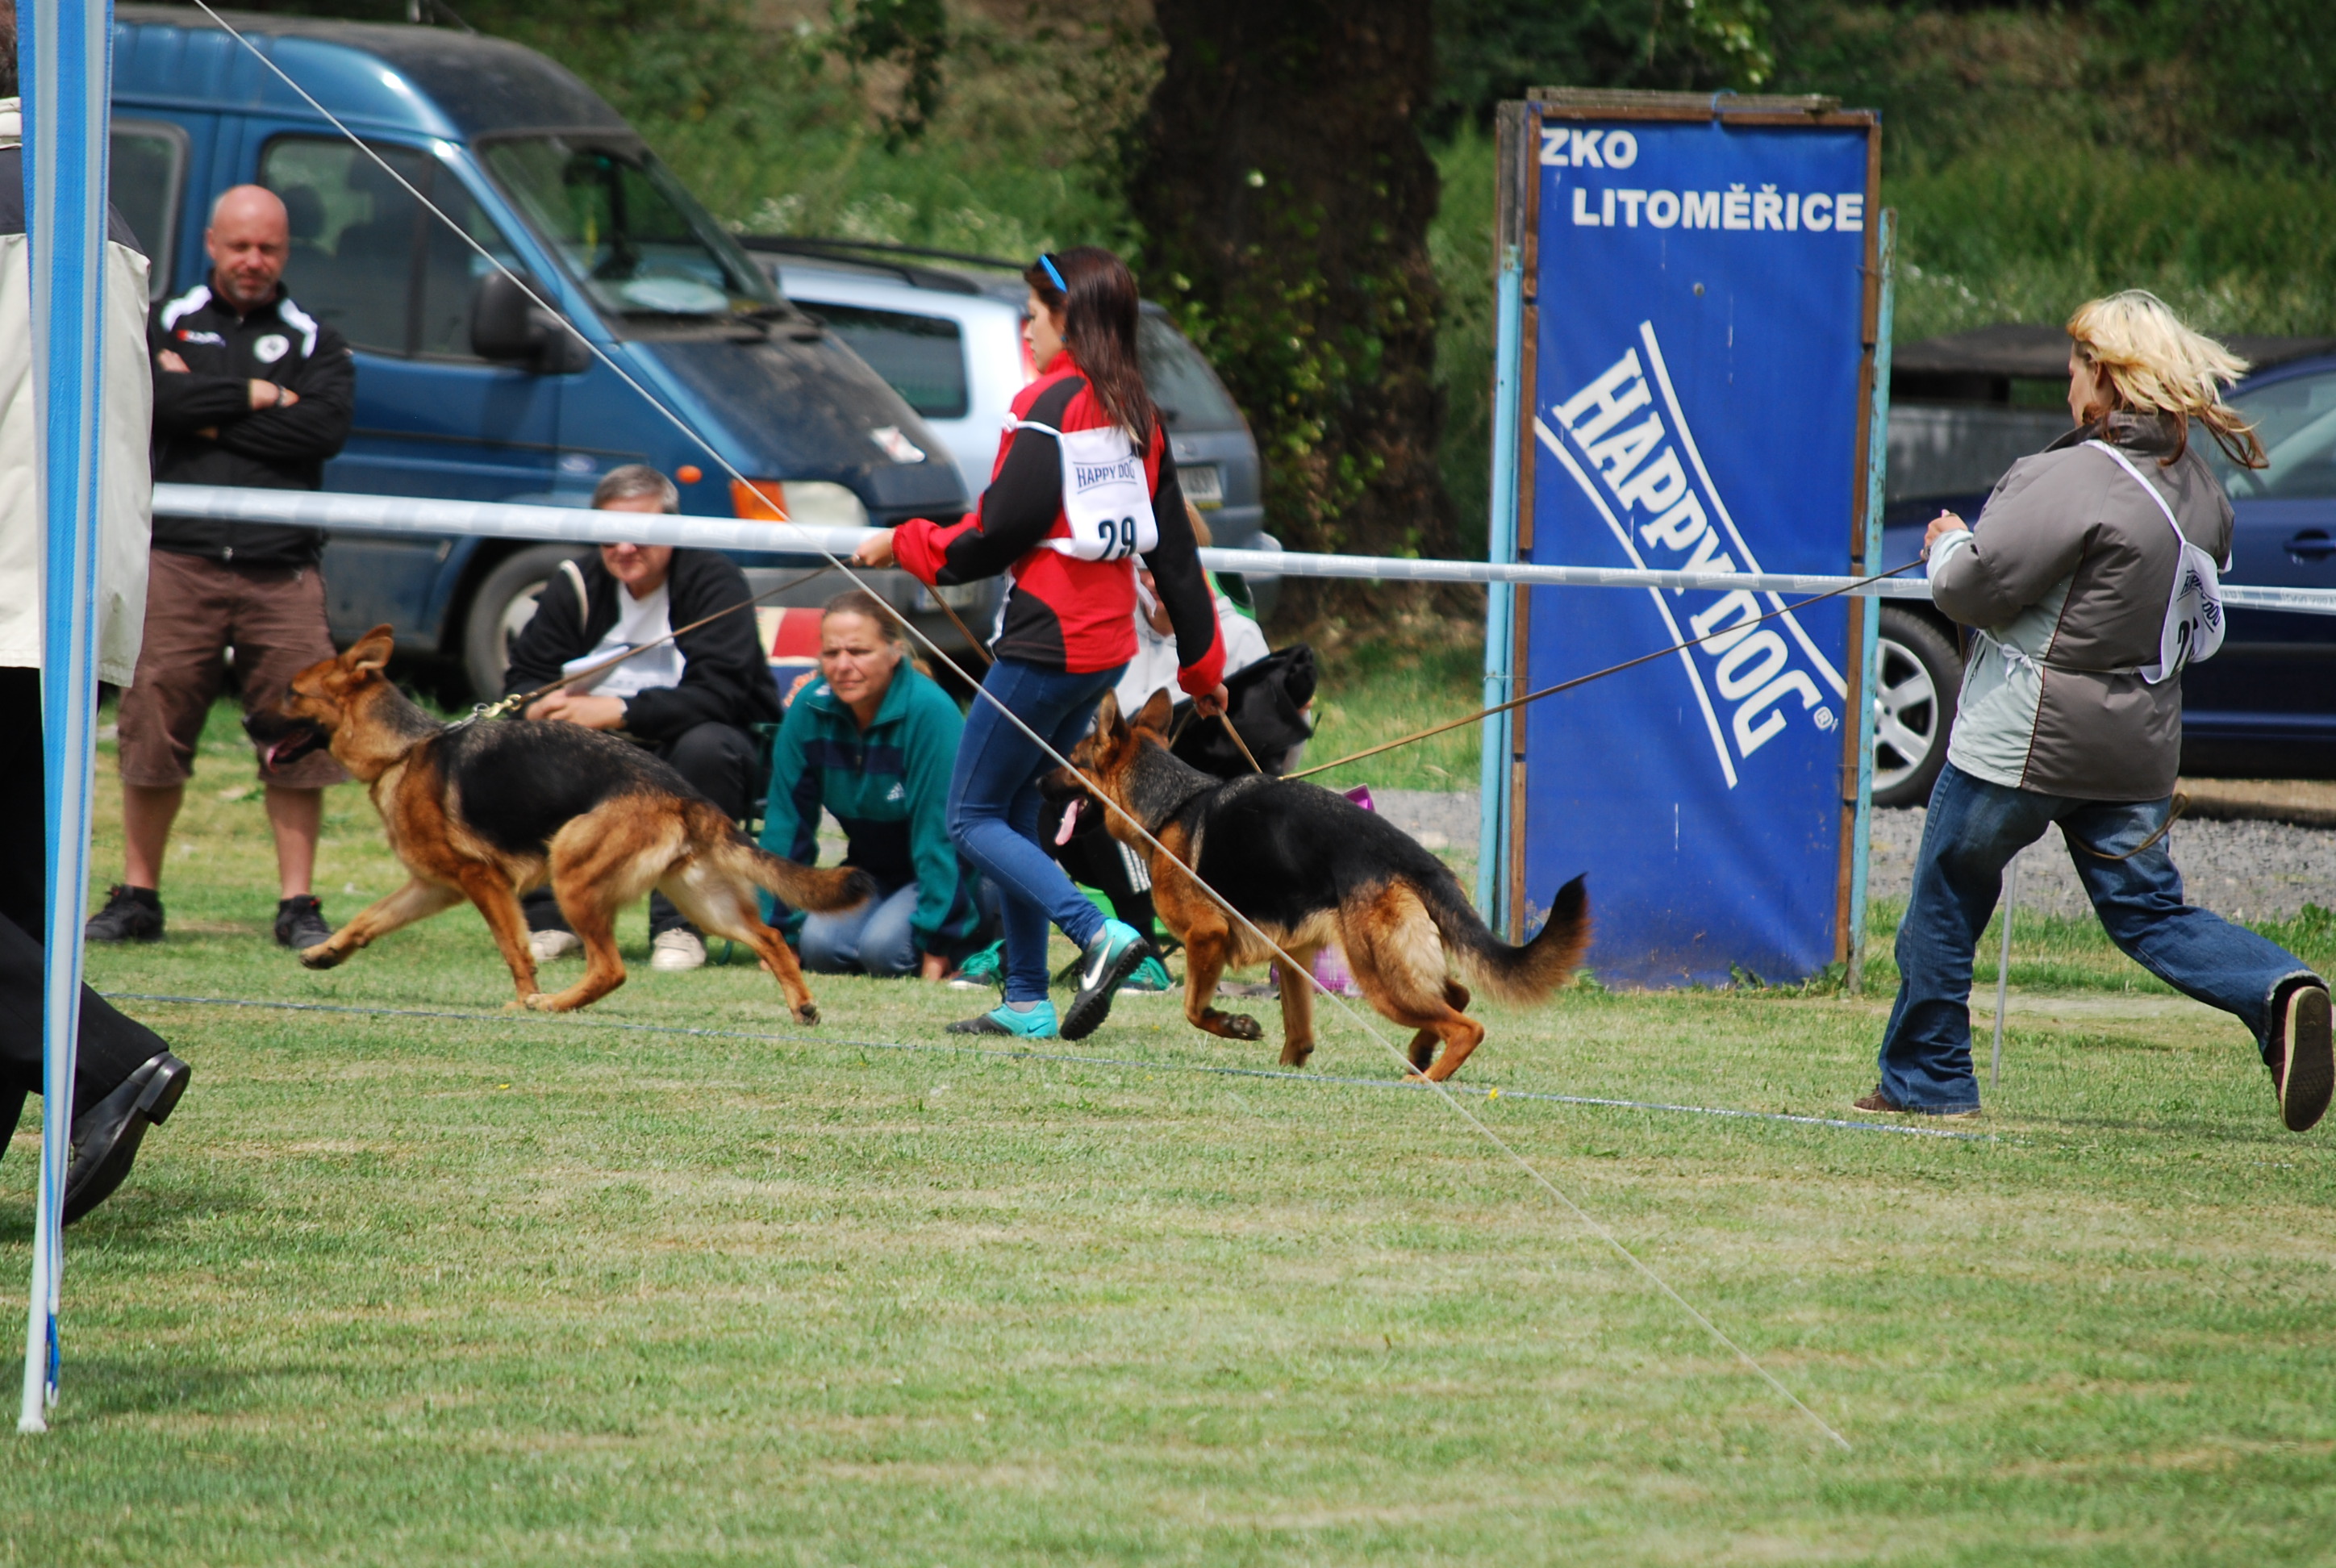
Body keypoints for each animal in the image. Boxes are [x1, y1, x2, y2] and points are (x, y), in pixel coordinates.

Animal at [251, 626, 878, 1019]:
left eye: (292, 694)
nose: (247, 723)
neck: (405, 749)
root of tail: (684, 794)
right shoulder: (433, 885)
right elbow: (370, 919)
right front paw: (327, 952)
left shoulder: (482, 881)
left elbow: (514, 949)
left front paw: (524, 998)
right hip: (703, 901)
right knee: (771, 938)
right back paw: (802, 1005)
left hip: (572, 872)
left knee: (611, 969)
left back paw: (553, 1004)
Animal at [1060, 696, 1588, 1079]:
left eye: (1070, 762)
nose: (1041, 783)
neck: (1169, 806)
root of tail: (1417, 859)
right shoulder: (1293, 953)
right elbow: (1298, 1030)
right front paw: (1288, 1070)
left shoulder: (1206, 935)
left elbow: (1193, 1009)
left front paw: (1235, 1025)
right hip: (1398, 965)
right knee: (1454, 995)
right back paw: (1421, 1051)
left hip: (1379, 977)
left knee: (1466, 1025)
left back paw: (1428, 1076)